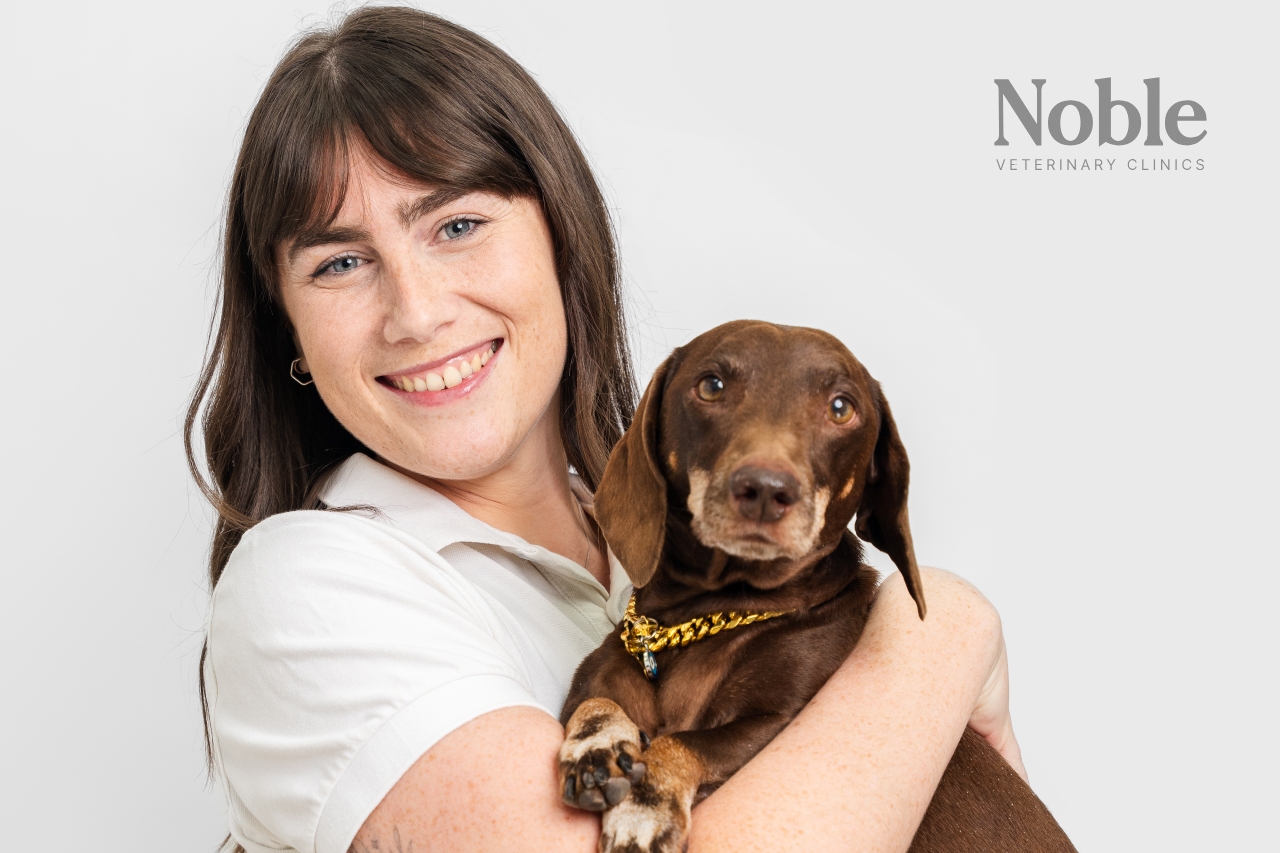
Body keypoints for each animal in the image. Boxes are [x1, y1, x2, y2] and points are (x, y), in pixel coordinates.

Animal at [555, 320, 1075, 850]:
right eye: (711, 386)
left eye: (841, 407)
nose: (766, 490)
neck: (702, 613)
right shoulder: (599, 677)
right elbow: (595, 700)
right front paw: (596, 749)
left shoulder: (779, 721)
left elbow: (679, 742)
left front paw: (645, 804)